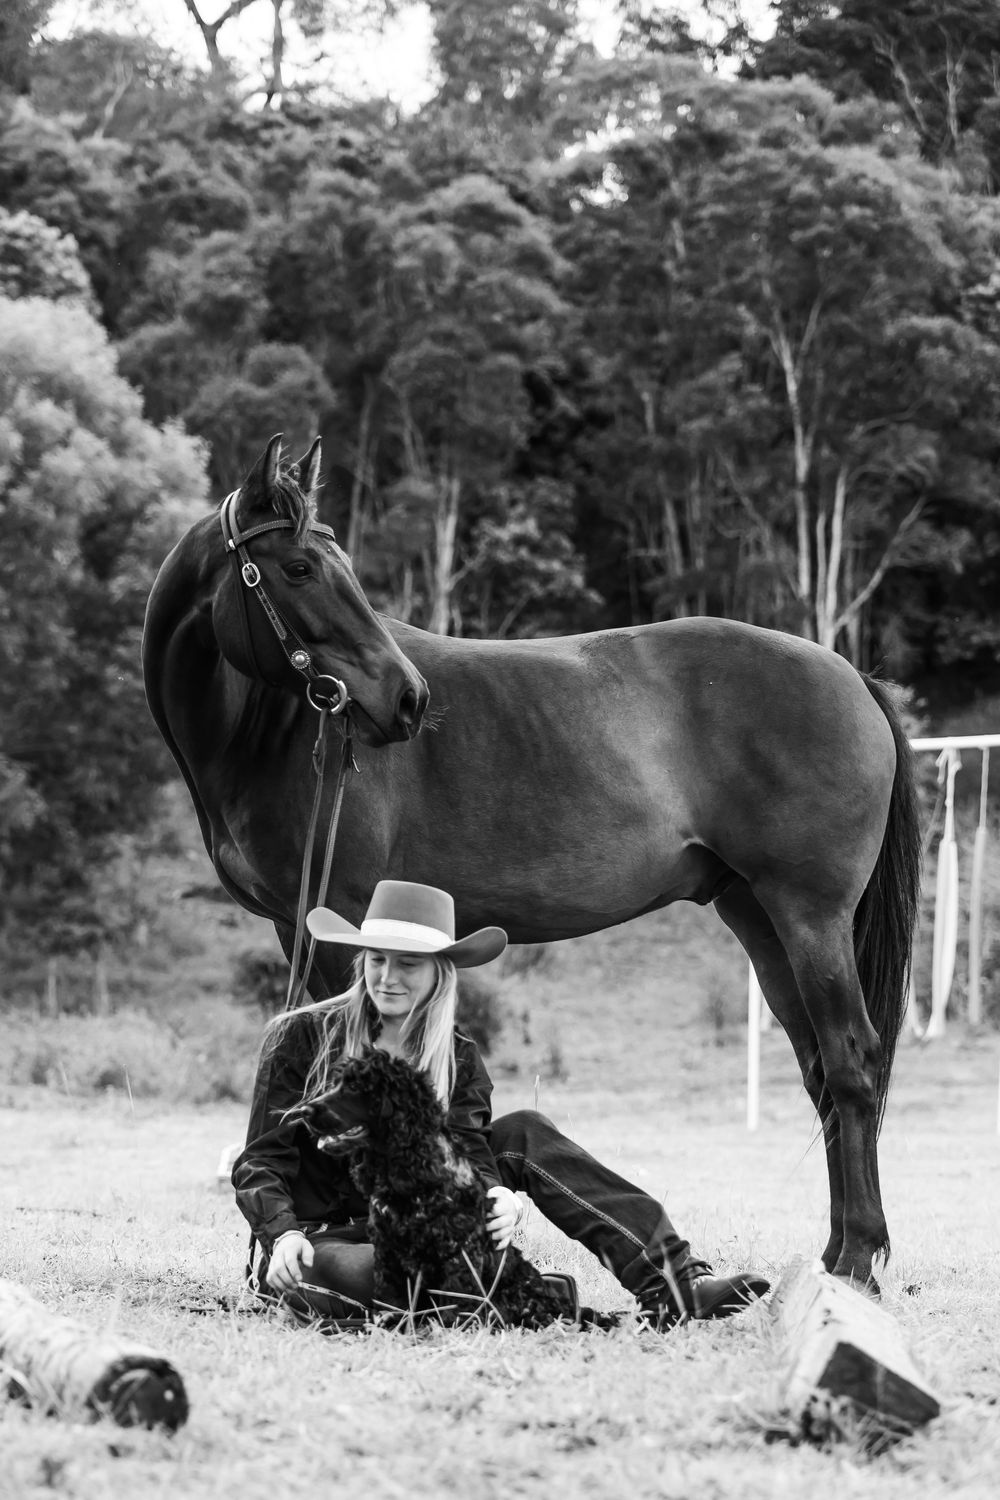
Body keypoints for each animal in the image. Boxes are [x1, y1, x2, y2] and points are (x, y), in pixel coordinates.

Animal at [143, 433, 921, 1291]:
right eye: (300, 567)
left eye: (326, 562)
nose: (408, 700)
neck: (267, 733)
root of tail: (852, 676)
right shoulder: (299, 926)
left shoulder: (336, 917)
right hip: (759, 916)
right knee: (820, 1069)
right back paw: (831, 1255)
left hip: (811, 916)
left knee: (850, 1064)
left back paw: (857, 1258)